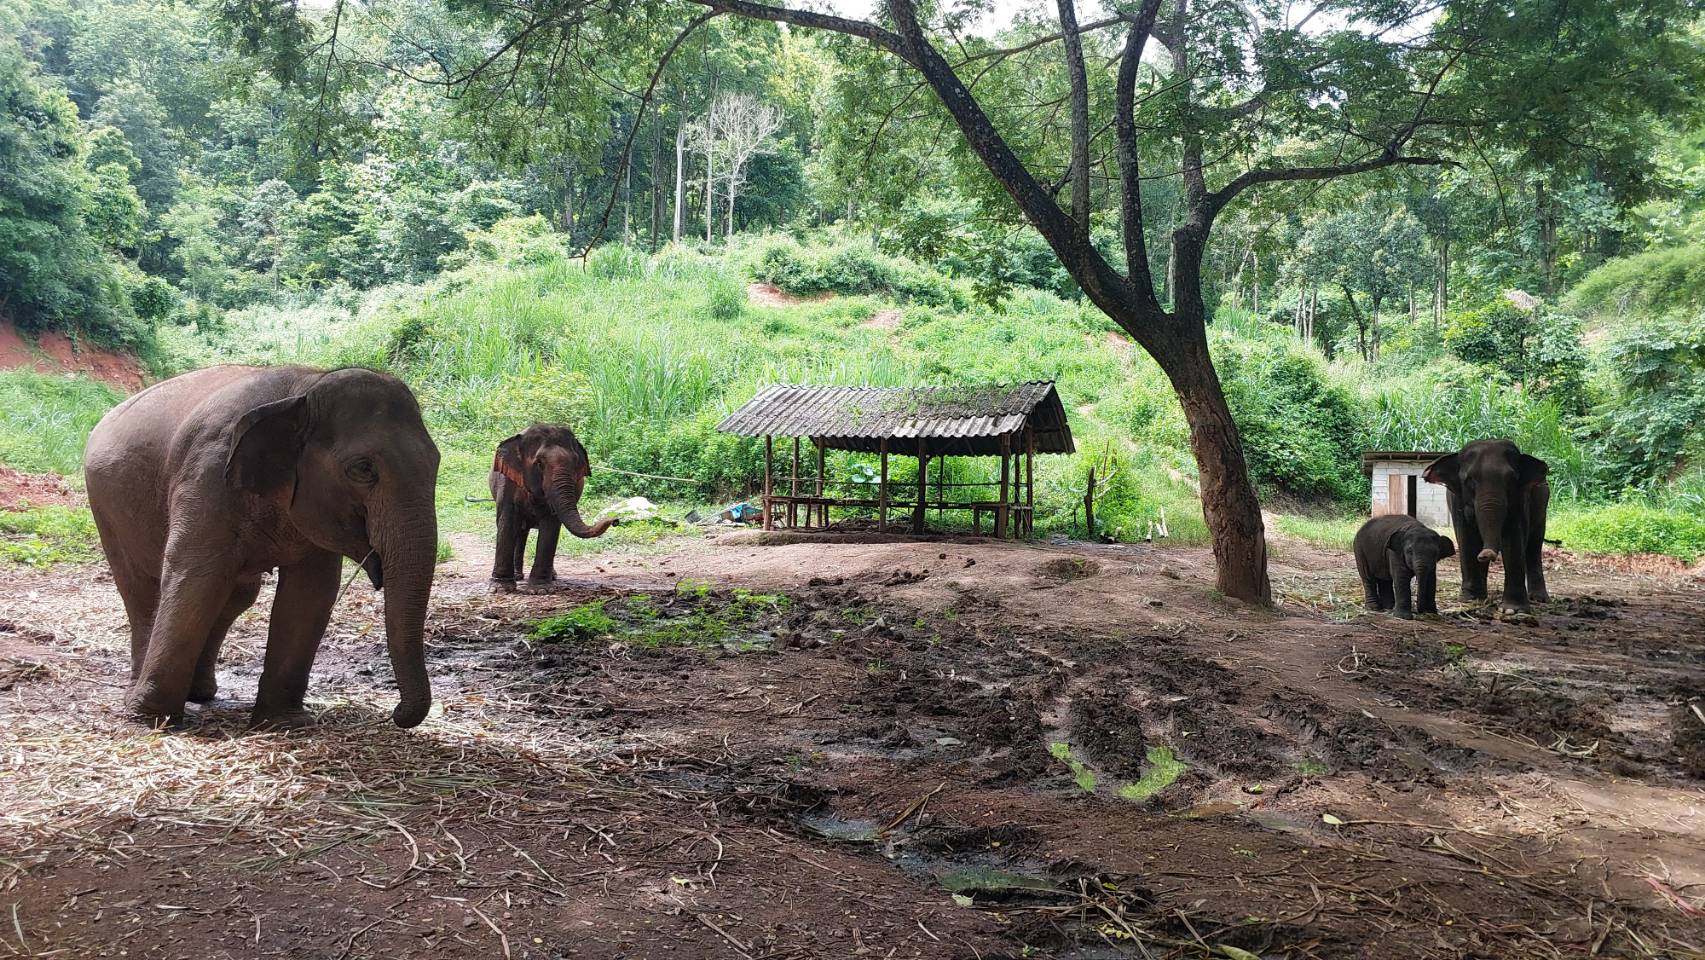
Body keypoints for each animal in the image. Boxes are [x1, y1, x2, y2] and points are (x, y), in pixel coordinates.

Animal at [84, 365, 441, 728]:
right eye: (362, 469)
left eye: (436, 461)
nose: (396, 714)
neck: (305, 387)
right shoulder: (208, 474)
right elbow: (195, 577)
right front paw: (154, 720)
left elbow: (310, 593)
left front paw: (285, 722)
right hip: (106, 508)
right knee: (142, 593)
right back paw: (141, 699)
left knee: (238, 594)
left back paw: (200, 692)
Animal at [488, 424, 615, 592]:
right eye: (539, 463)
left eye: (575, 463)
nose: (615, 520)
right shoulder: (507, 482)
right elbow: (507, 522)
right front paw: (500, 588)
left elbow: (550, 526)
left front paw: (540, 589)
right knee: (520, 531)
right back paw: (518, 576)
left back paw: (551, 576)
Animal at [1423, 439, 1550, 613]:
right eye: (1470, 480)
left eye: (1511, 479)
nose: (1486, 554)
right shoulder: (1457, 501)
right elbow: (1467, 538)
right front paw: (1470, 599)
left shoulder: (1521, 498)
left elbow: (1514, 539)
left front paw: (1513, 610)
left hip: (1542, 508)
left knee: (1534, 547)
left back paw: (1539, 598)